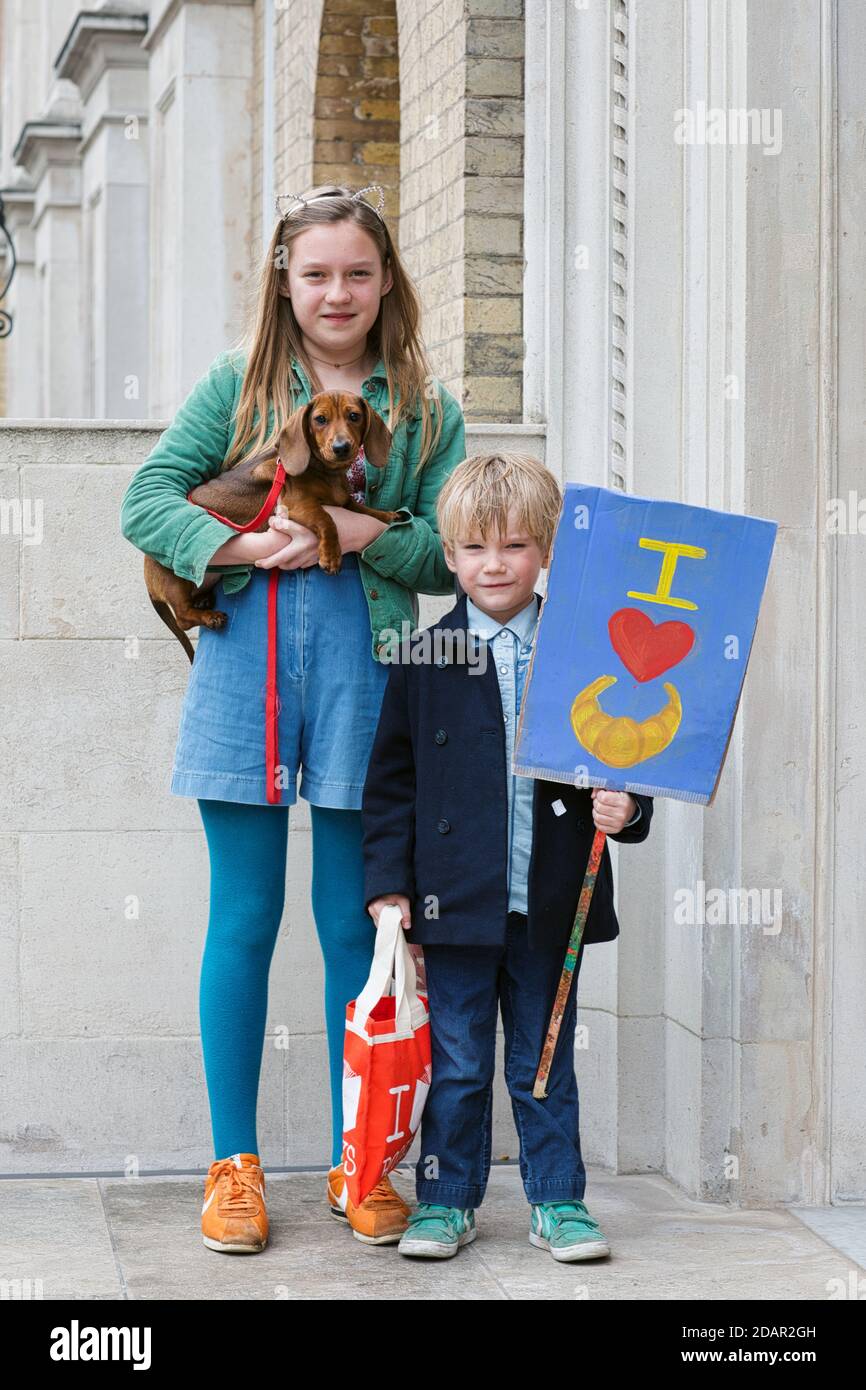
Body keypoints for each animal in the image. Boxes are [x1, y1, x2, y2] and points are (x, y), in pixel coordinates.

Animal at [143, 386, 400, 656]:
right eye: (320, 419)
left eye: (354, 416)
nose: (341, 447)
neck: (325, 471)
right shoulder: (296, 506)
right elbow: (327, 519)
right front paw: (331, 556)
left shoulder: (344, 501)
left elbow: (361, 509)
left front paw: (387, 515)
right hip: (175, 579)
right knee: (183, 616)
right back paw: (210, 617)